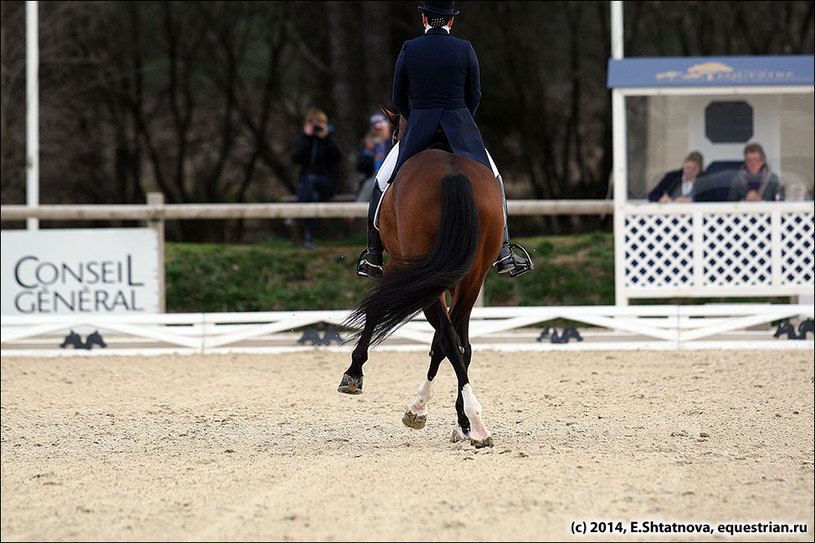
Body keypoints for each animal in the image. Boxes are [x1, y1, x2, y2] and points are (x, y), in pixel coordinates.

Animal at [336, 108, 504, 448]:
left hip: (428, 277)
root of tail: (452, 172)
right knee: (455, 341)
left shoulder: (399, 270)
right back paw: (470, 424)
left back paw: (431, 411)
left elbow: (375, 308)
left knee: (448, 338)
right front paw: (460, 422)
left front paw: (354, 372)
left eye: (394, 134)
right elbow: (458, 342)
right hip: (472, 276)